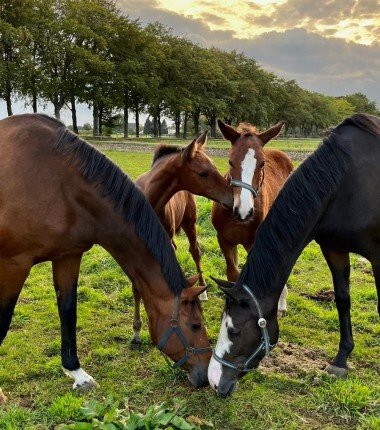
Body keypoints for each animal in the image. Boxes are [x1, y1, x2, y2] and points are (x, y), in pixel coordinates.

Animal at [0, 113, 212, 404]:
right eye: (195, 325)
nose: (206, 376)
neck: (59, 184)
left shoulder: (68, 256)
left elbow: (68, 311)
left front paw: (77, 374)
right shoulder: (14, 265)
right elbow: (3, 321)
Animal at [211, 121, 294, 316]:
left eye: (262, 164)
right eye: (230, 161)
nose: (244, 211)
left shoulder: (253, 243)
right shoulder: (224, 239)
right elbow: (233, 274)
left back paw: (281, 304)